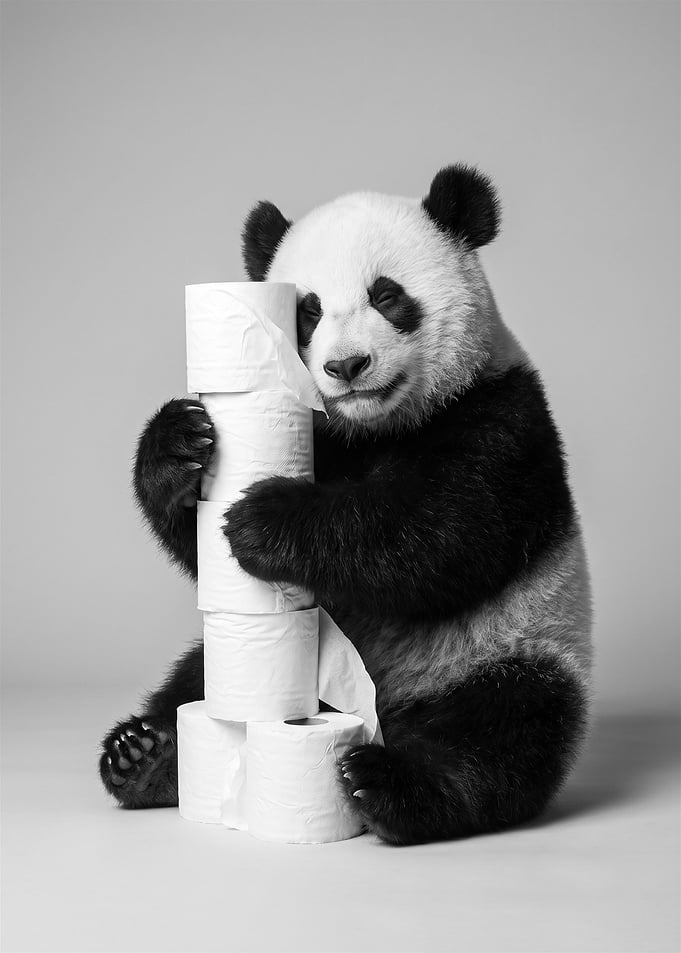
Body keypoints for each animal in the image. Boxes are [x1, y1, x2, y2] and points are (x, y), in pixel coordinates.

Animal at [99, 164, 593, 845]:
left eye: (387, 296)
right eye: (307, 311)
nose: (347, 365)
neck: (376, 426)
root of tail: (386, 713)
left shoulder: (501, 418)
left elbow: (440, 532)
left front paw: (265, 520)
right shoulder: (317, 429)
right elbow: (197, 543)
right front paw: (179, 444)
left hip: (515, 646)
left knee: (501, 734)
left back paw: (388, 783)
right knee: (191, 683)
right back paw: (145, 755)